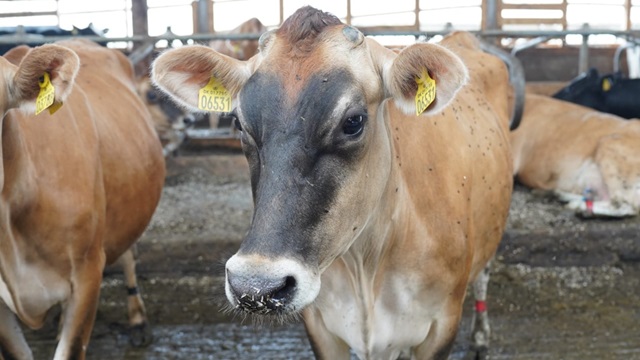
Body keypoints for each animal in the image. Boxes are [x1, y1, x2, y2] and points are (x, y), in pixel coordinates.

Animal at [151, 6, 516, 360]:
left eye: (353, 122)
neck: (367, 266)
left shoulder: (442, 325)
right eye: (239, 123)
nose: (255, 286)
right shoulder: (320, 327)